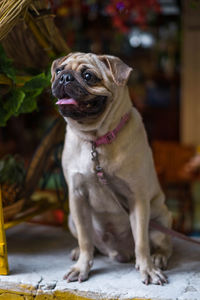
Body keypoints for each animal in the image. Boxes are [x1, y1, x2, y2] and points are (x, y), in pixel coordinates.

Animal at [51, 52, 172, 284]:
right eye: (59, 70)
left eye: (88, 76)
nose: (64, 78)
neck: (96, 141)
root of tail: (118, 252)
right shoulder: (77, 197)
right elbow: (85, 239)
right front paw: (82, 267)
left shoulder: (137, 198)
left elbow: (141, 242)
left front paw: (148, 269)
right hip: (72, 219)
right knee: (91, 244)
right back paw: (80, 253)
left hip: (161, 218)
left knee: (161, 243)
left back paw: (159, 257)